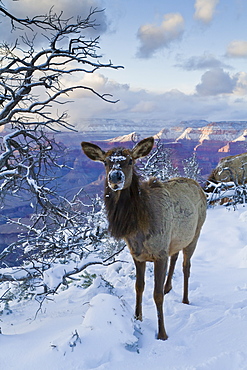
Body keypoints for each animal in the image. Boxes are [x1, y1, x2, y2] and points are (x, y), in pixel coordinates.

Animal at [81, 137, 206, 340]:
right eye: (106, 162)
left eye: (130, 160)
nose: (115, 177)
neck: (137, 227)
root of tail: (198, 185)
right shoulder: (138, 255)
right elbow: (139, 286)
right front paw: (137, 317)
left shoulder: (159, 253)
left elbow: (156, 295)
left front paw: (162, 333)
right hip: (176, 239)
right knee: (175, 256)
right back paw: (168, 286)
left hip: (196, 233)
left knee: (186, 266)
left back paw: (185, 299)